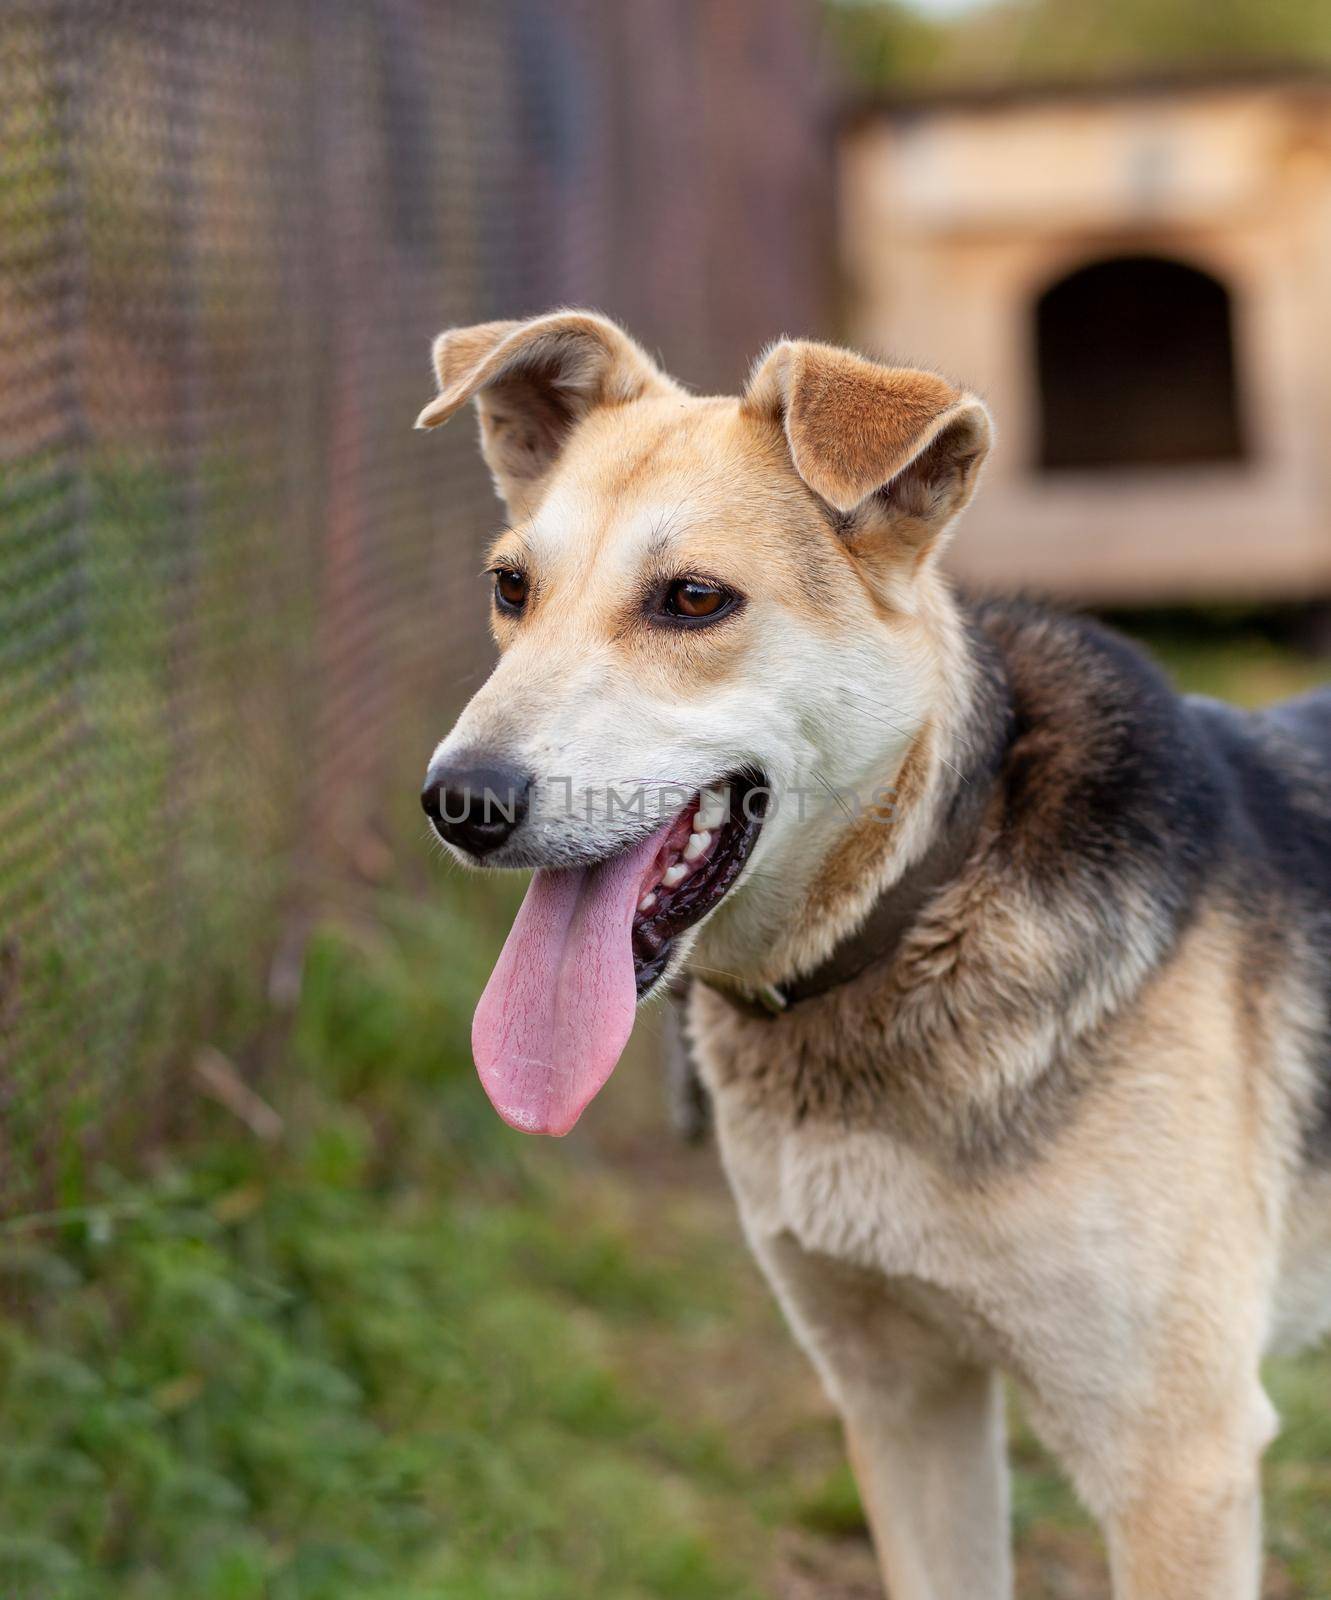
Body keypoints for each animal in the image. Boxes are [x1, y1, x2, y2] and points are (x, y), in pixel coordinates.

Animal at [415, 305, 1331, 1593]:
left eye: (690, 599)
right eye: (510, 587)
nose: (460, 801)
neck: (923, 896)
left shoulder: (1174, 1462)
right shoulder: (901, 1399)